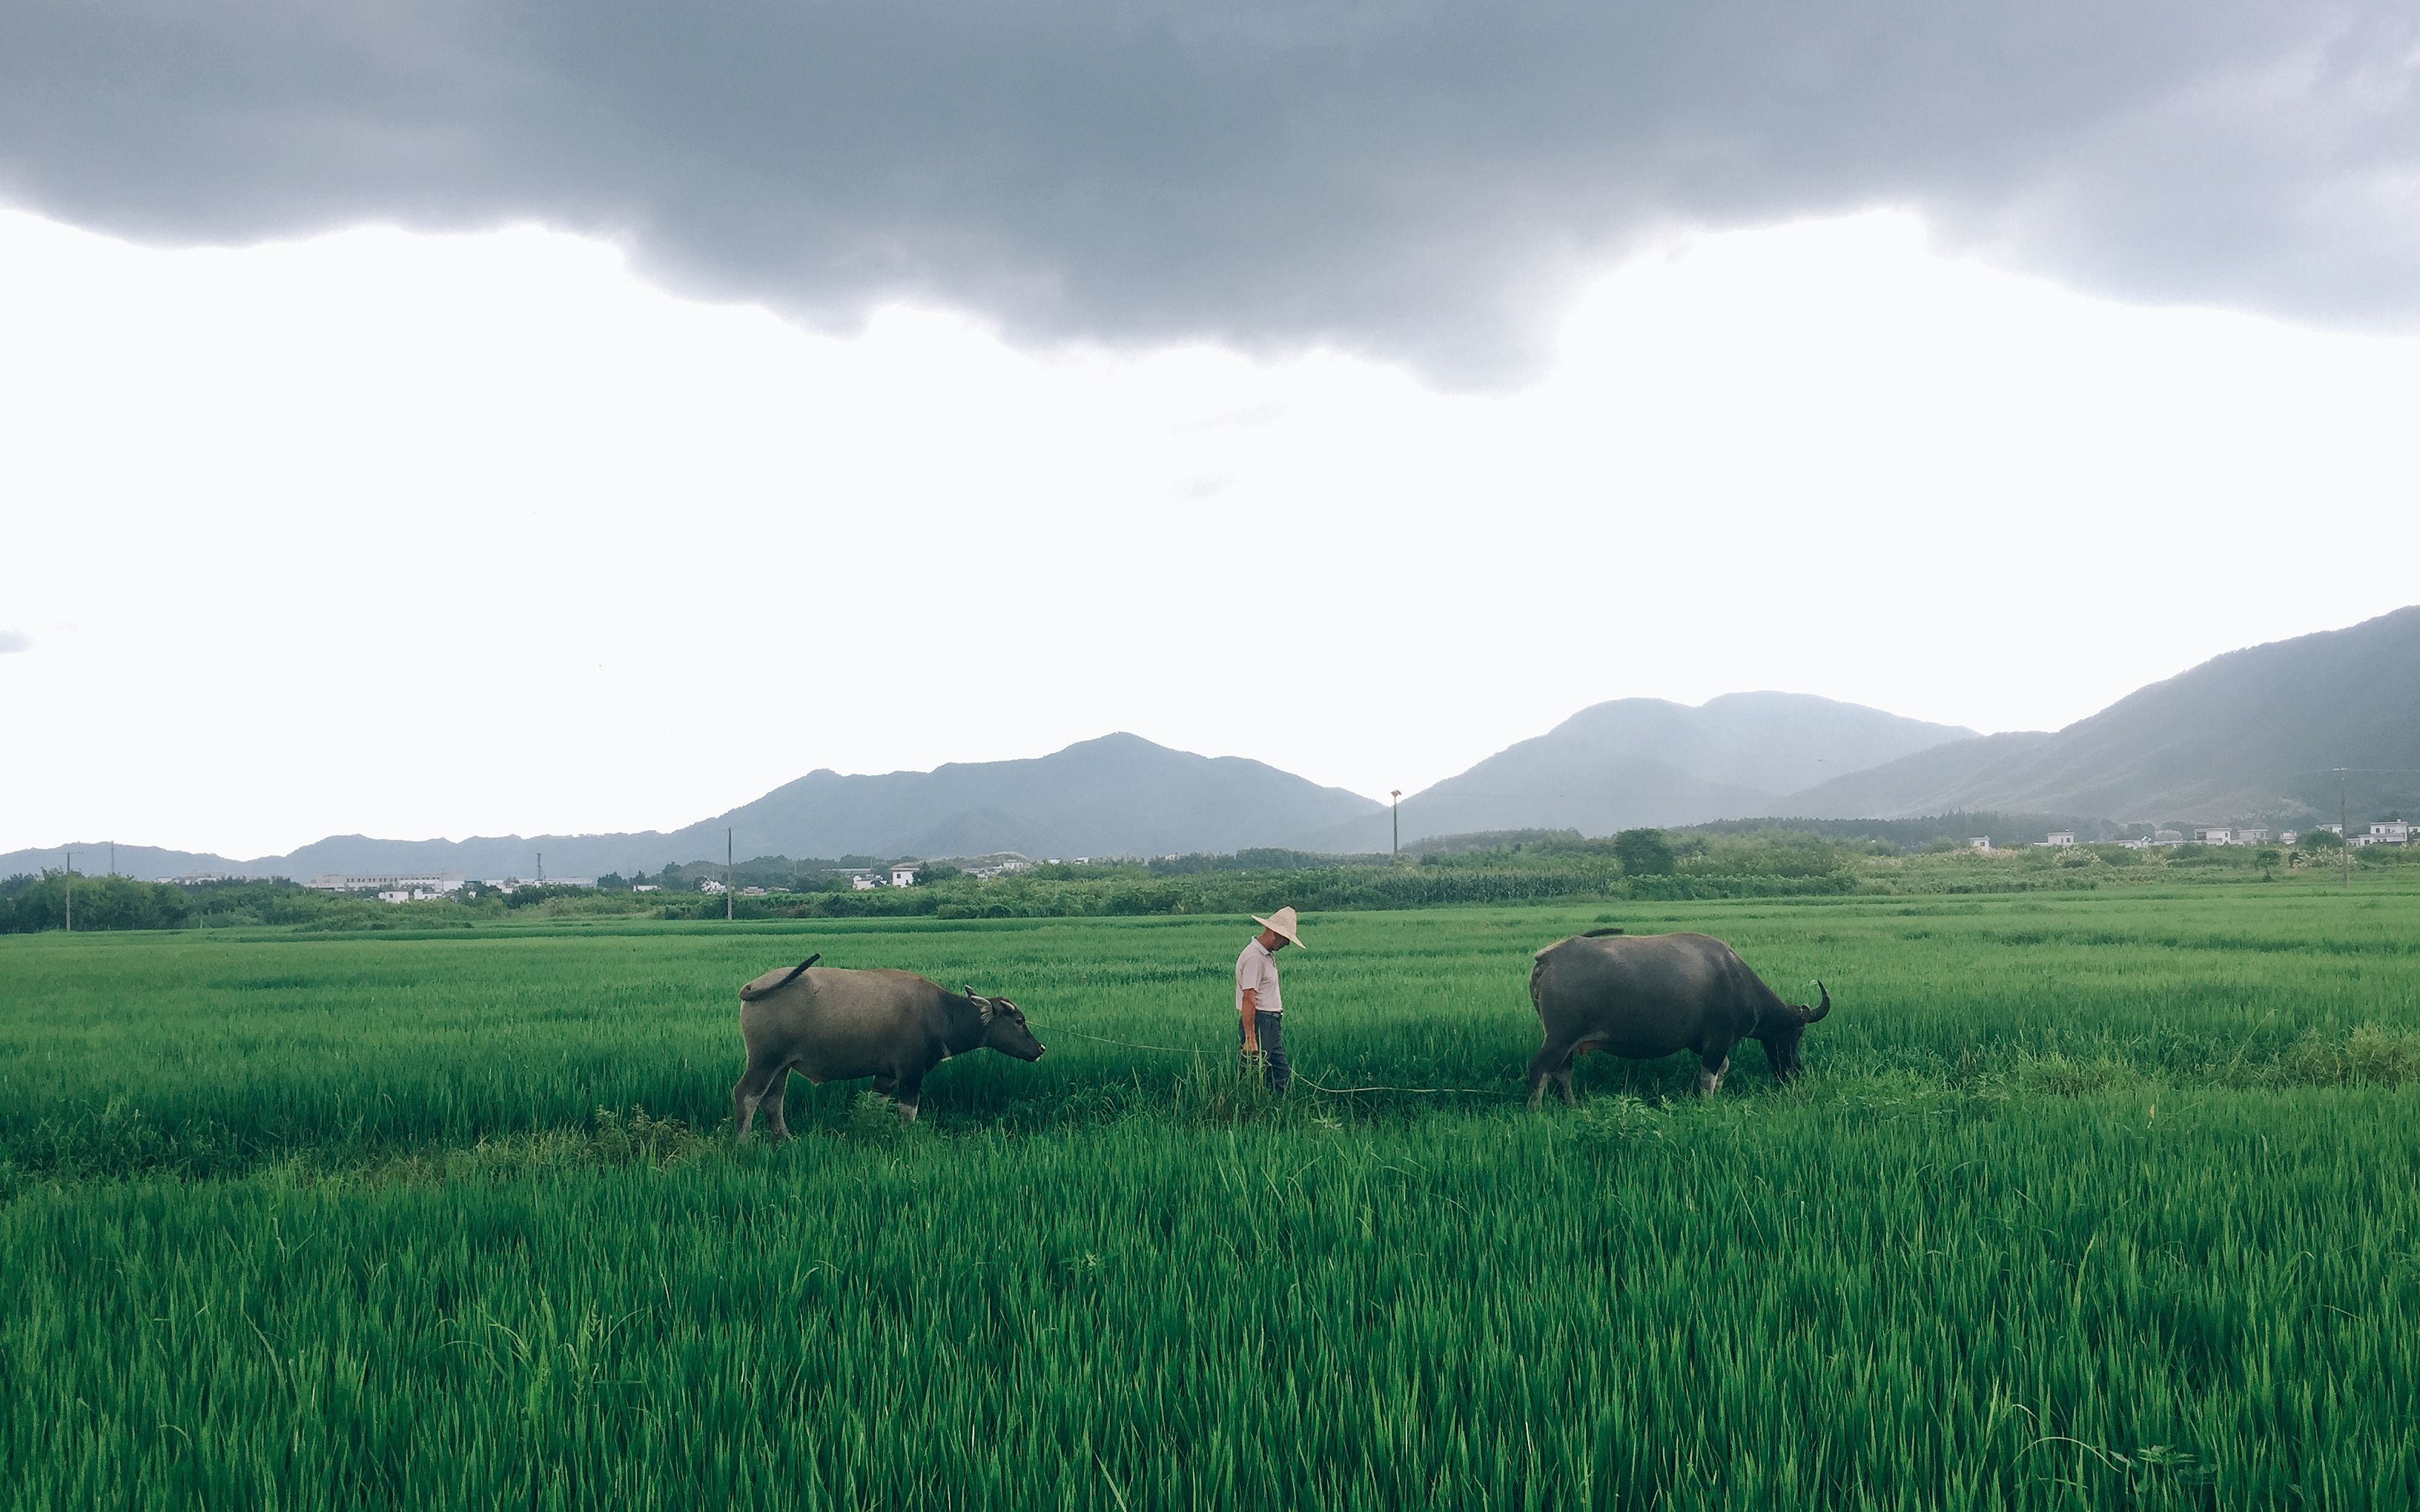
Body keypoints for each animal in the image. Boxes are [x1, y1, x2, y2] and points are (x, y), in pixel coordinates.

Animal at [730, 953, 1045, 1132]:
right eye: (1019, 1021)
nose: (1040, 1049)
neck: (941, 1013)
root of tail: (755, 985)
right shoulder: (911, 1072)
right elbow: (909, 1111)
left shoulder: (885, 1076)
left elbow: (875, 1107)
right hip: (765, 1060)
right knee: (746, 1095)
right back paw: (744, 1145)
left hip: (782, 1065)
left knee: (773, 1100)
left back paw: (784, 1140)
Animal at [1529, 924, 1829, 1103]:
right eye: (1796, 1033)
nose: (1793, 1070)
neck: (1736, 980)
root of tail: (1550, 958)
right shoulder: (1717, 1040)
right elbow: (1710, 1074)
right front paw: (1708, 1102)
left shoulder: (1704, 1043)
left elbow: (1723, 1068)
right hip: (1560, 1036)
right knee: (1540, 1067)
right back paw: (1536, 1110)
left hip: (1565, 1041)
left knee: (1562, 1071)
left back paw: (1572, 1105)